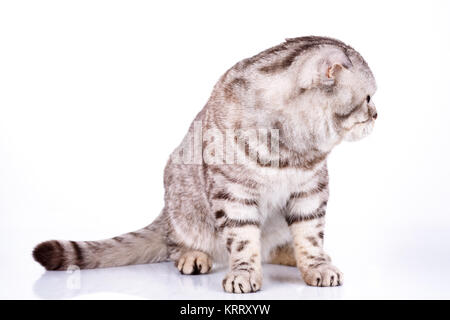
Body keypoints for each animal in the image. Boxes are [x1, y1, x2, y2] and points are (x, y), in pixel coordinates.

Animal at [33, 36, 376, 294]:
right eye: (369, 97)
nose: (377, 114)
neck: (294, 146)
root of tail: (165, 213)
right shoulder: (233, 193)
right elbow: (243, 240)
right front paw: (244, 274)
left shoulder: (310, 191)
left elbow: (310, 237)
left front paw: (317, 266)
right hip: (181, 202)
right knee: (175, 244)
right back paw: (193, 256)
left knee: (273, 246)